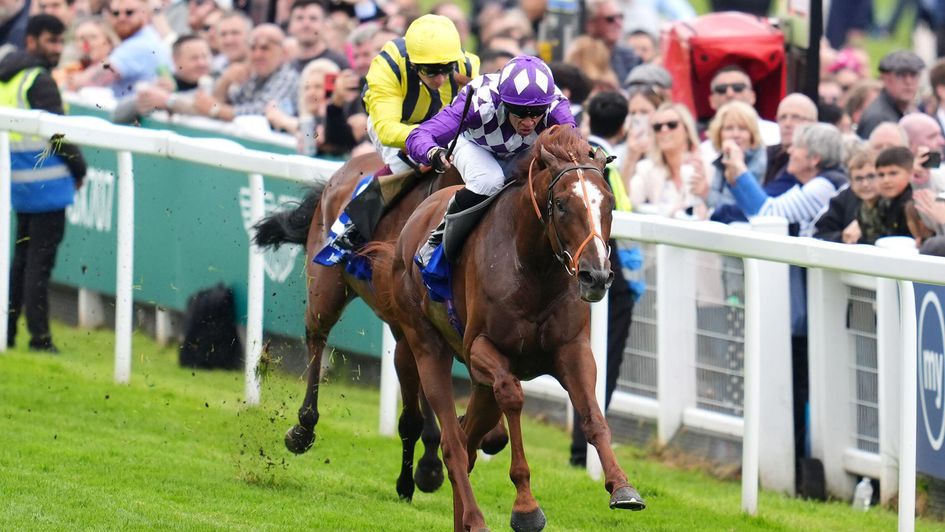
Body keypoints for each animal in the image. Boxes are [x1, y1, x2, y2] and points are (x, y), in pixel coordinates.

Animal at [251, 152, 506, 500]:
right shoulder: (413, 330)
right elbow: (413, 417)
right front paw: (410, 480)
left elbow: (489, 424)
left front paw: (442, 453)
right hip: (326, 289)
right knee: (317, 339)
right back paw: (303, 427)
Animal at [372, 125, 644, 532]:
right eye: (561, 204)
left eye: (608, 204)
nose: (595, 276)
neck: (534, 270)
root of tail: (415, 218)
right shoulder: (483, 349)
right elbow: (513, 397)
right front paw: (526, 507)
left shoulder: (572, 349)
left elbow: (593, 416)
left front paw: (622, 486)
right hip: (425, 344)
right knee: (453, 443)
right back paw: (473, 515)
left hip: (477, 381)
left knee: (468, 439)